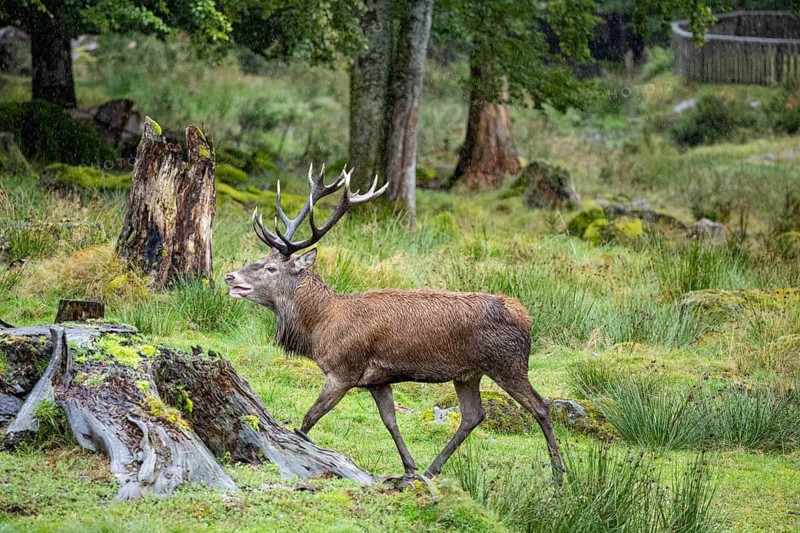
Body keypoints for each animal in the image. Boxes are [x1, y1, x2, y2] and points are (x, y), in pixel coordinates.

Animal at [225, 164, 564, 485]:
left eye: (270, 268)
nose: (230, 276)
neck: (320, 325)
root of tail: (526, 317)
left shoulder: (343, 369)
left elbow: (309, 419)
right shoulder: (377, 379)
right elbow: (390, 421)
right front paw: (409, 467)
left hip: (508, 363)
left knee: (540, 406)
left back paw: (559, 474)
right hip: (468, 373)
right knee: (473, 415)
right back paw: (431, 469)